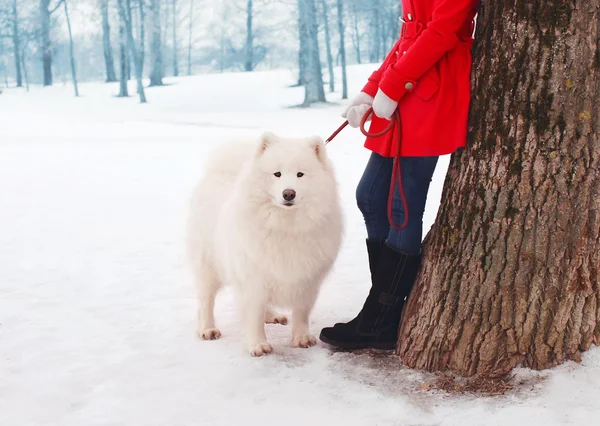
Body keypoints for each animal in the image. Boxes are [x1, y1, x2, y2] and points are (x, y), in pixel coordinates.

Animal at [188, 131, 346, 354]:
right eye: (277, 174)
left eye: (300, 174)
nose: (288, 193)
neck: (286, 225)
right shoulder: (252, 277)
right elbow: (253, 314)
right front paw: (258, 345)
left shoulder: (306, 279)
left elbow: (302, 312)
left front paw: (302, 338)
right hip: (208, 264)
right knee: (206, 300)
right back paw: (208, 329)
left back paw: (272, 316)